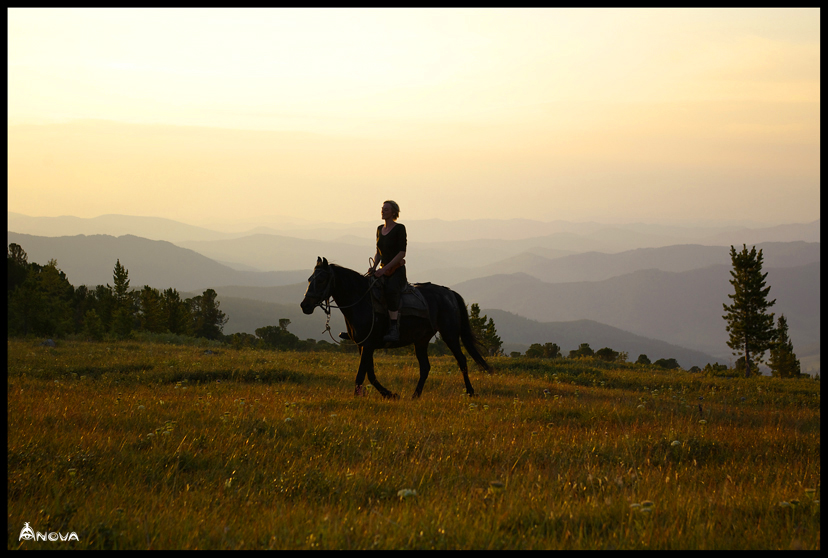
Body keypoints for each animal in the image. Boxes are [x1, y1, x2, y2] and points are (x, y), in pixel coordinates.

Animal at [300, 260, 488, 400]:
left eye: (322, 280)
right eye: (309, 279)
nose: (305, 305)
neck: (362, 301)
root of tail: (449, 293)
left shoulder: (368, 344)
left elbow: (362, 373)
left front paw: (357, 396)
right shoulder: (363, 345)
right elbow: (370, 373)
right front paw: (389, 394)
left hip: (450, 335)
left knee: (461, 360)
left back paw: (470, 392)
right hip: (421, 341)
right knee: (425, 367)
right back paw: (415, 395)